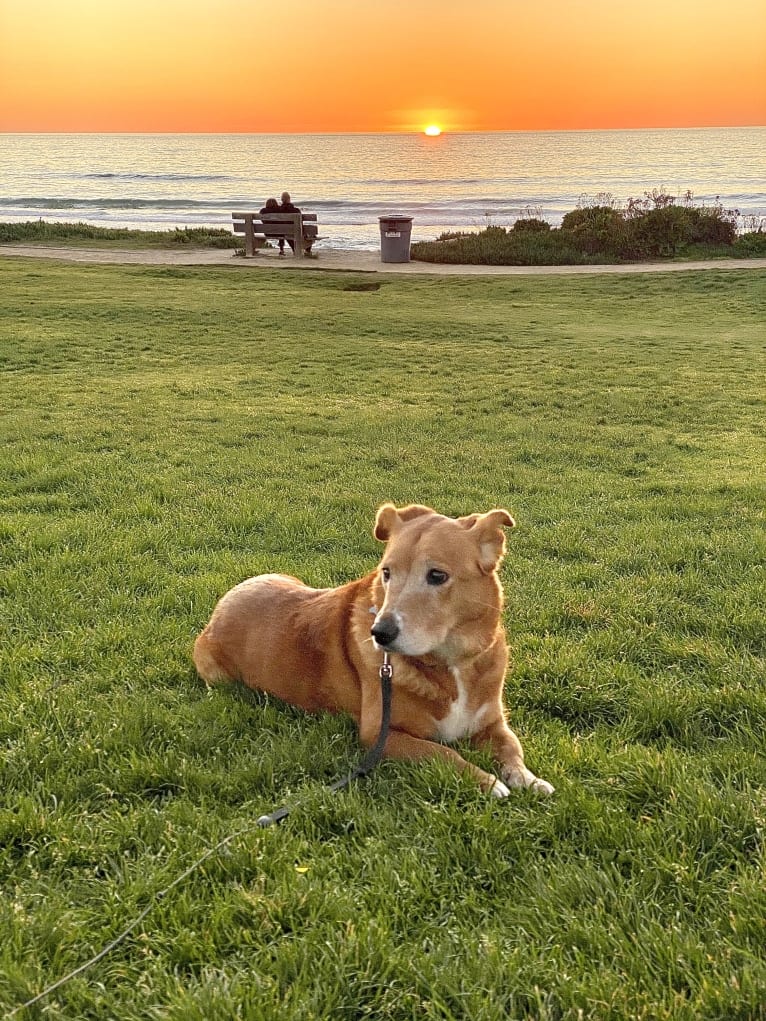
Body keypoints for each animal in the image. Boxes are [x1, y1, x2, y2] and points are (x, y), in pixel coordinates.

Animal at [195, 502, 555, 796]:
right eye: (387, 572)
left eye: (437, 575)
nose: (379, 633)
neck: (451, 664)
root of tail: (223, 604)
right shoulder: (379, 736)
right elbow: (443, 752)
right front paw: (487, 781)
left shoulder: (493, 723)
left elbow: (512, 748)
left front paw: (528, 778)